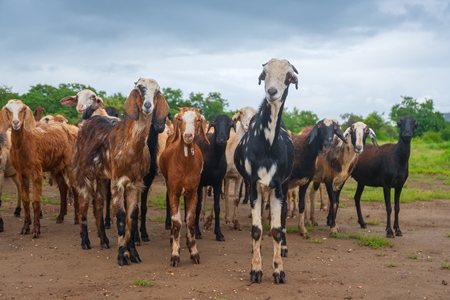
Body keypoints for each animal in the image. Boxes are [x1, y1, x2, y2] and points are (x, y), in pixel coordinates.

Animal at [0, 99, 79, 238]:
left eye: (22, 109)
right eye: (8, 109)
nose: (15, 123)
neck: (26, 142)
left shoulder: (37, 172)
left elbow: (36, 201)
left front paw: (36, 230)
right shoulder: (21, 173)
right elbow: (26, 200)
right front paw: (25, 228)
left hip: (70, 165)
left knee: (74, 188)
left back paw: (76, 218)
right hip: (56, 167)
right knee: (63, 187)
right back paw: (60, 217)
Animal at [73, 77, 170, 264]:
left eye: (156, 91)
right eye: (139, 88)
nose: (148, 106)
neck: (130, 145)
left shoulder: (135, 184)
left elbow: (132, 216)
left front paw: (134, 253)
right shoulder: (118, 182)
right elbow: (121, 217)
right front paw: (122, 255)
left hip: (101, 176)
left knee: (98, 203)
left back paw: (104, 240)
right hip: (83, 173)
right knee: (83, 203)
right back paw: (85, 241)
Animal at [158, 106, 209, 266]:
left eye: (198, 120)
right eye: (180, 119)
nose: (187, 136)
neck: (185, 164)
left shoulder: (193, 192)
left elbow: (191, 221)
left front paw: (194, 252)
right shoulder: (173, 191)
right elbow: (176, 223)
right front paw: (175, 255)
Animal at [234, 58, 298, 284]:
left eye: (288, 76)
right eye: (264, 73)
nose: (272, 92)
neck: (268, 146)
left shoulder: (278, 186)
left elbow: (277, 229)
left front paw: (279, 271)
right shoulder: (254, 185)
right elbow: (256, 229)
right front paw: (255, 270)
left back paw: (284, 247)